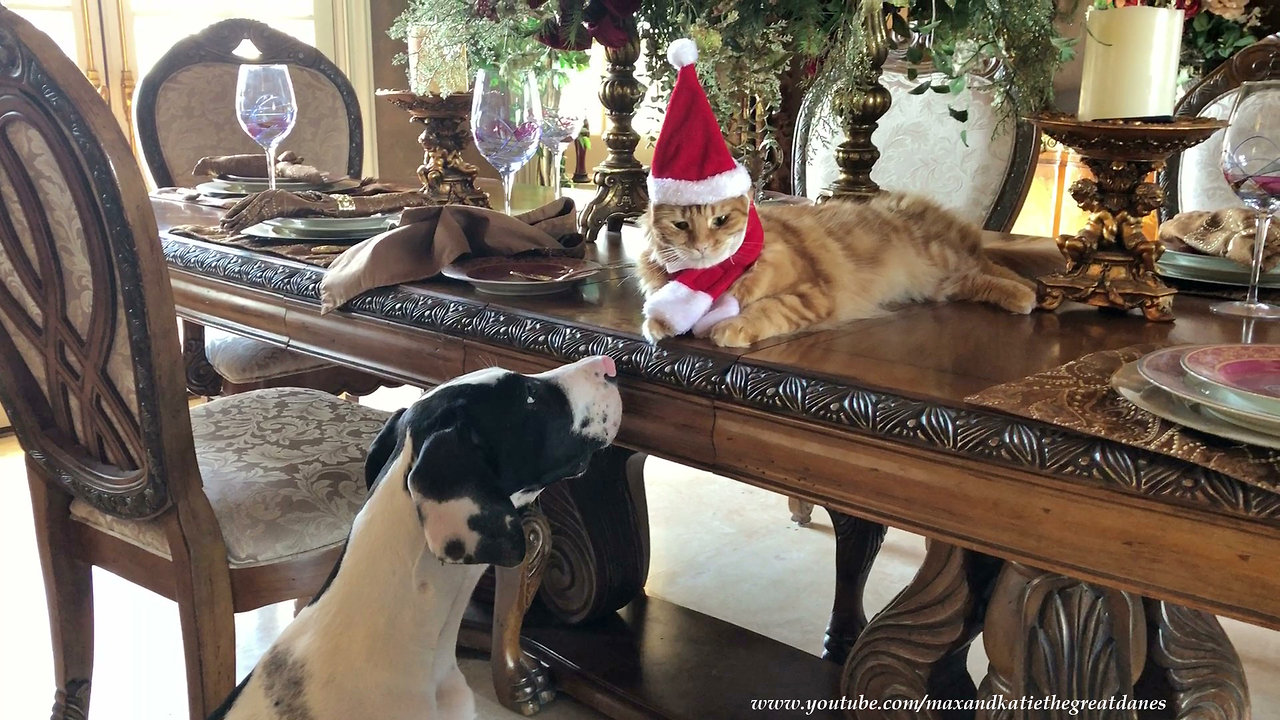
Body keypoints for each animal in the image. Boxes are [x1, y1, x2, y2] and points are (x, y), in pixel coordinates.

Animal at [640, 192, 1039, 345]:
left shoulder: (813, 294)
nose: (701, 247)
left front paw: (730, 327)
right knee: (978, 277)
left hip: (941, 258)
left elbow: (766, 310)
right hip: (940, 283)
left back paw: (1030, 294)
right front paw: (657, 325)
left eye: (720, 221)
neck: (715, 278)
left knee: (991, 267)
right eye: (680, 226)